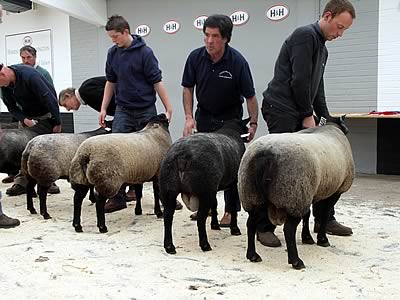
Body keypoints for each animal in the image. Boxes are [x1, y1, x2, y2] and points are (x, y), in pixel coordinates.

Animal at [160, 118, 248, 254]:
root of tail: (182, 155)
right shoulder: (232, 184)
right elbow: (232, 207)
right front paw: (234, 229)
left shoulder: (214, 187)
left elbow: (215, 204)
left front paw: (215, 225)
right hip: (204, 190)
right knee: (201, 218)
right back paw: (205, 245)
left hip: (169, 189)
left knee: (168, 217)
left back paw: (169, 247)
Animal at [238, 122, 354, 270]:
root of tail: (265, 155)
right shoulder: (334, 191)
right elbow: (325, 214)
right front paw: (322, 239)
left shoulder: (309, 192)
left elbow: (307, 214)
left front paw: (307, 238)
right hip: (293, 193)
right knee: (288, 229)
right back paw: (296, 261)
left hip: (254, 195)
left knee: (251, 223)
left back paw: (252, 255)